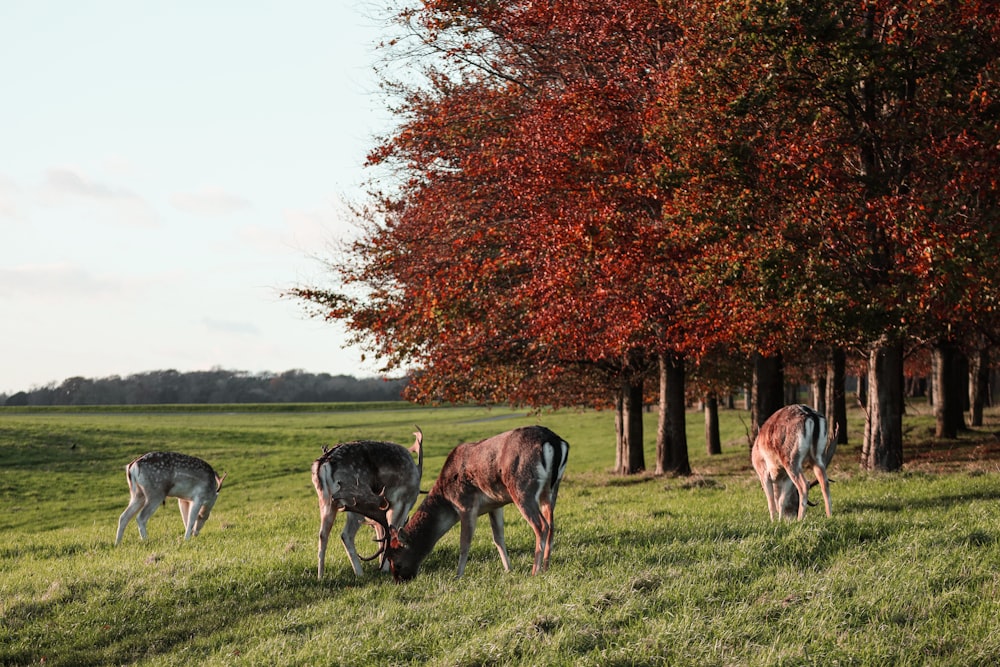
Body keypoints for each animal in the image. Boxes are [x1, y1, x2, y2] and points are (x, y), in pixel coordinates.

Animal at [310, 428, 424, 580]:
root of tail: (323, 465)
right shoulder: (401, 500)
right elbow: (391, 530)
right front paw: (386, 567)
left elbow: (382, 533)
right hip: (355, 500)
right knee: (346, 534)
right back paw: (360, 573)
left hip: (326, 501)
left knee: (322, 534)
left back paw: (320, 576)